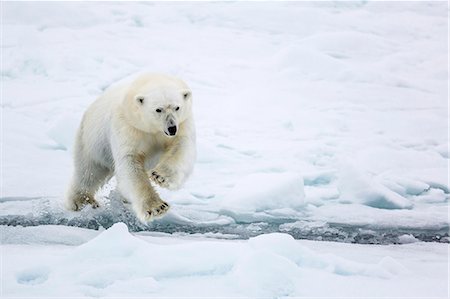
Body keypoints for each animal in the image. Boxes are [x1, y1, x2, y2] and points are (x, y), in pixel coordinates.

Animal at [65, 73, 195, 223]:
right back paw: (82, 201)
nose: (171, 128)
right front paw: (157, 208)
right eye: (158, 109)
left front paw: (159, 176)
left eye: (177, 107)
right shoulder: (128, 125)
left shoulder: (183, 123)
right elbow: (130, 162)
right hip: (91, 141)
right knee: (89, 171)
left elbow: (181, 146)